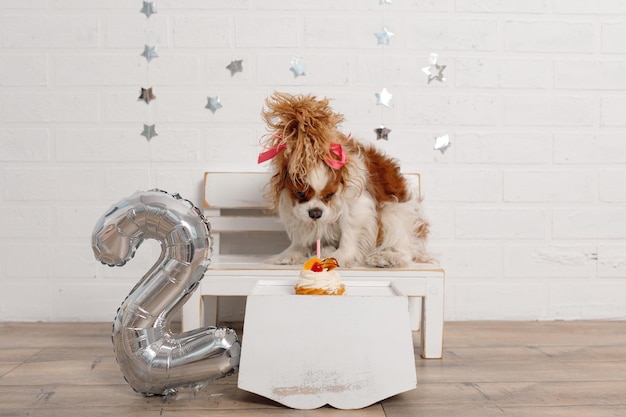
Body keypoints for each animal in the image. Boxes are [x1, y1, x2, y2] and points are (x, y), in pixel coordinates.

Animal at [258, 91, 428, 266]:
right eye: (299, 193)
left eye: (330, 195)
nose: (315, 213)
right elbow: (300, 235)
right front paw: (291, 253)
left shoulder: (357, 206)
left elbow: (349, 233)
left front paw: (339, 257)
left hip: (393, 213)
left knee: (404, 249)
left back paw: (387, 257)